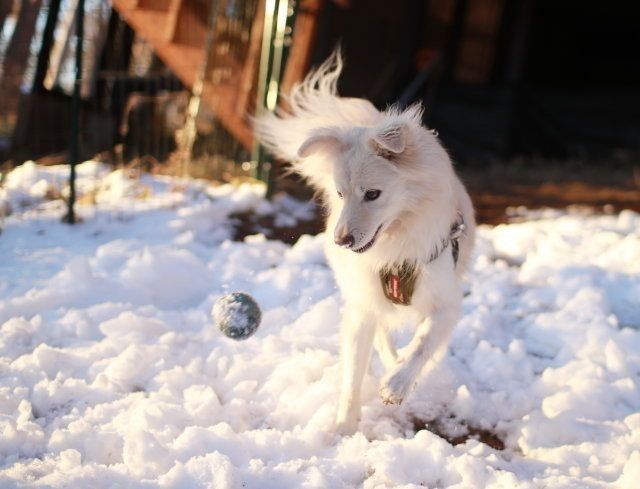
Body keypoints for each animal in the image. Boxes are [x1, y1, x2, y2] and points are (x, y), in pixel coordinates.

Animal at [255, 53, 475, 435]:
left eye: (373, 194)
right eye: (341, 194)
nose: (341, 240)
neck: (397, 243)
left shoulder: (446, 301)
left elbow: (424, 342)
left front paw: (398, 384)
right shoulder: (362, 304)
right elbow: (353, 370)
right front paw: (345, 426)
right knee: (381, 329)